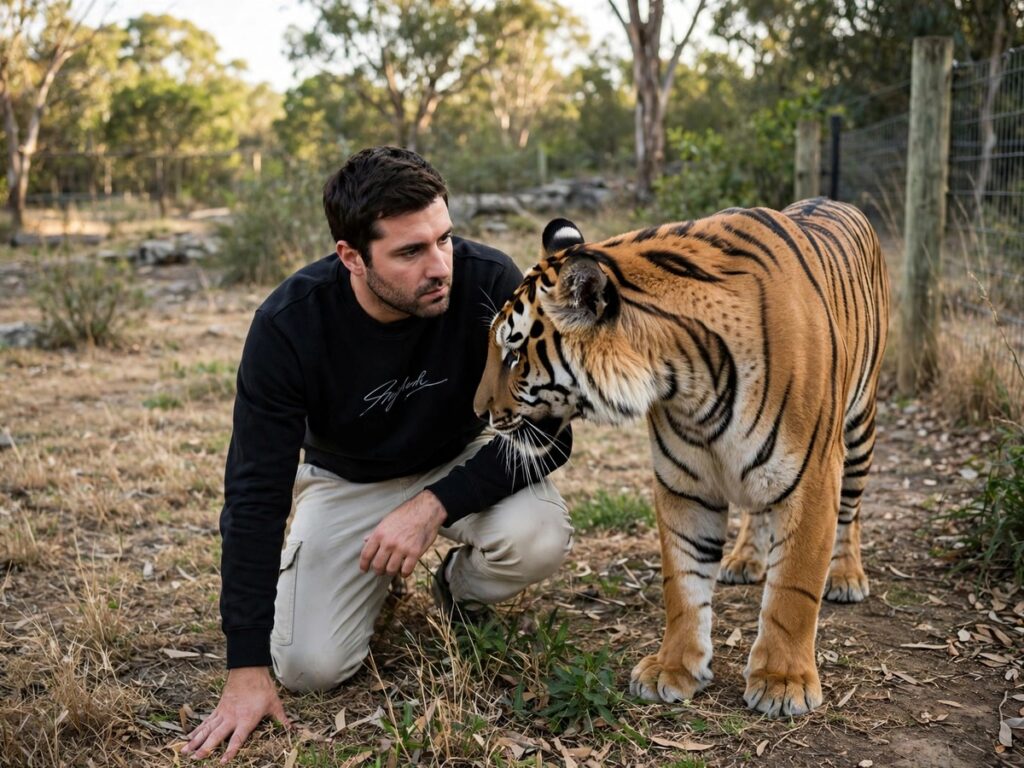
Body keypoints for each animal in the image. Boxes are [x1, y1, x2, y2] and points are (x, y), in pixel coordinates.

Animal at [473, 197, 890, 717]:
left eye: (513, 355)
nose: (478, 411)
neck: (686, 380)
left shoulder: (813, 476)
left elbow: (793, 588)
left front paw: (783, 682)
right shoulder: (684, 482)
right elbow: (684, 582)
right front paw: (673, 668)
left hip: (859, 427)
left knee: (851, 513)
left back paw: (847, 576)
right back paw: (743, 560)